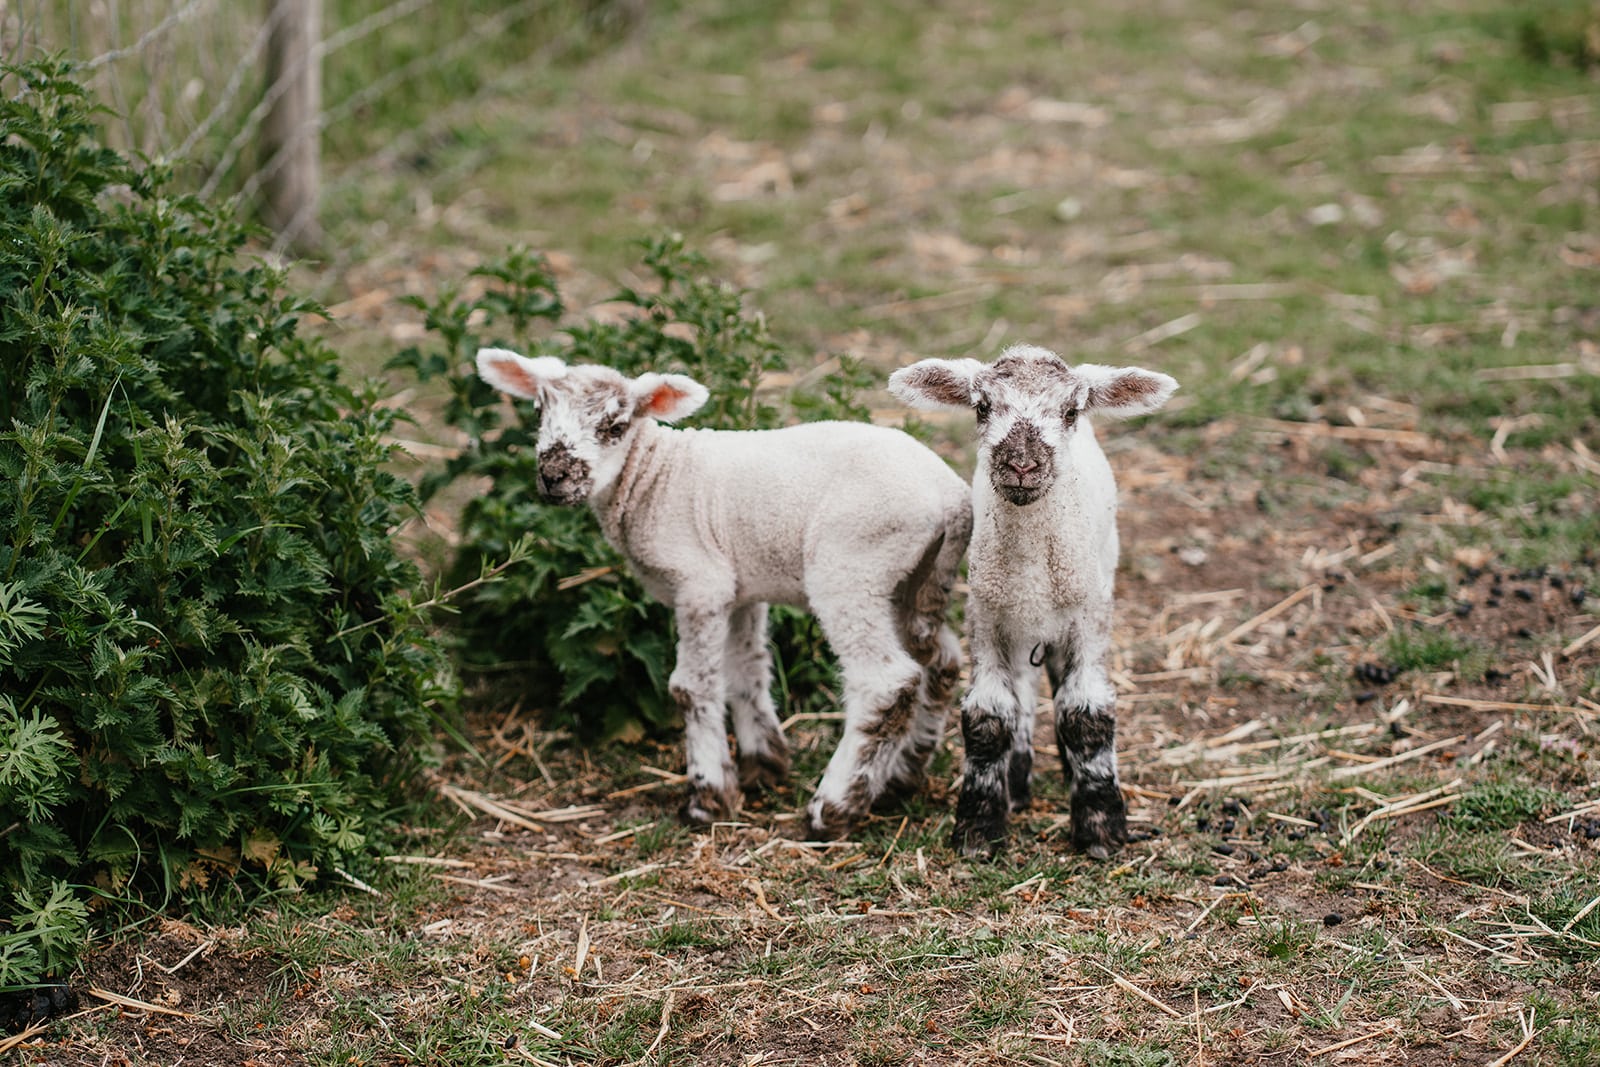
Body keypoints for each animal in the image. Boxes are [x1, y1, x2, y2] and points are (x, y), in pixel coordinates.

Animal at [475, 348, 972, 839]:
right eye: (538, 411)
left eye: (614, 427)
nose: (553, 475)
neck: (653, 476)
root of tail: (953, 499)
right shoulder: (740, 588)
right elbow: (746, 670)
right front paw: (763, 765)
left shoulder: (701, 584)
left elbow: (691, 687)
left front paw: (708, 796)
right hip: (918, 581)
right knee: (942, 662)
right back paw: (902, 777)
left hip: (852, 569)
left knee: (887, 683)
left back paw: (833, 808)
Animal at [889, 343, 1177, 859]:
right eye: (982, 407)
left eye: (1070, 411)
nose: (1021, 465)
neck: (1032, 575)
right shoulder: (986, 617)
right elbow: (988, 717)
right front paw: (979, 826)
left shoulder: (1088, 617)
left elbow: (1086, 713)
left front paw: (1101, 827)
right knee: (1022, 691)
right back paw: (1018, 782)